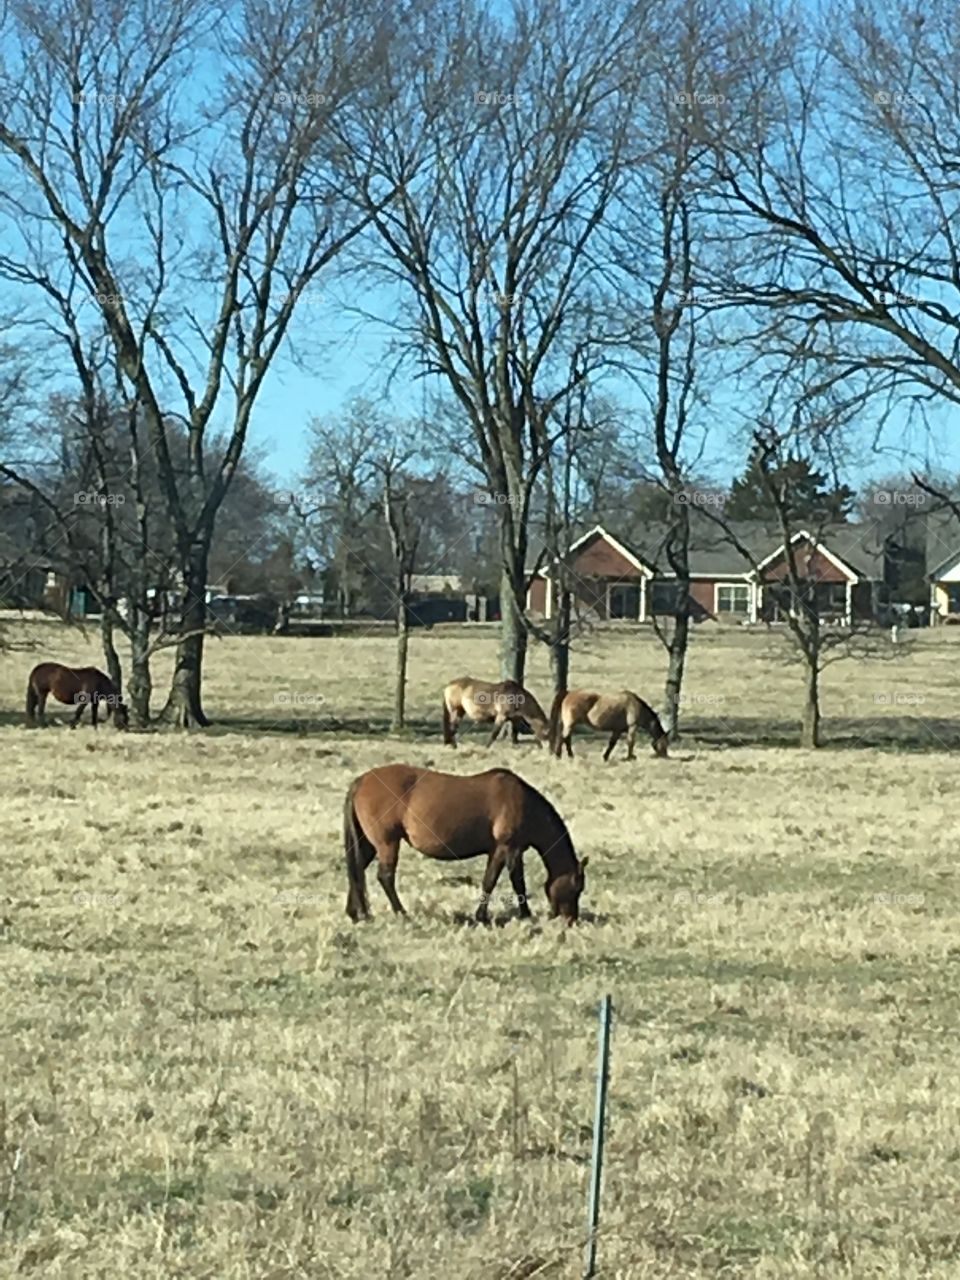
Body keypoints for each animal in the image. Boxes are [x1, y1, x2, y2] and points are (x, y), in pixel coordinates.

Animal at [343, 763, 588, 925]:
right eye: (577, 887)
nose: (571, 920)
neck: (522, 802)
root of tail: (361, 781)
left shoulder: (511, 850)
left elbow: (516, 882)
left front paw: (524, 914)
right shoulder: (504, 848)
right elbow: (494, 882)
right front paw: (482, 917)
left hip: (369, 844)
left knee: (356, 871)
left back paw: (357, 914)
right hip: (387, 843)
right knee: (384, 877)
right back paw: (401, 913)